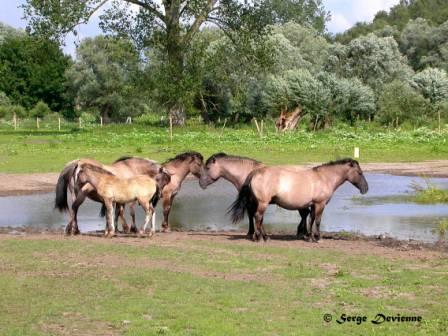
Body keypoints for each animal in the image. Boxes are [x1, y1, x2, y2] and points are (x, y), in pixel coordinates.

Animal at [231, 159, 368, 243]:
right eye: (360, 173)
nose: (366, 189)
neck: (324, 178)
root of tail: (255, 173)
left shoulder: (313, 205)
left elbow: (311, 220)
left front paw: (310, 237)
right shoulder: (320, 204)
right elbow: (317, 221)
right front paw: (318, 238)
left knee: (258, 218)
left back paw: (263, 237)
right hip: (263, 203)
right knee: (258, 217)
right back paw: (260, 238)